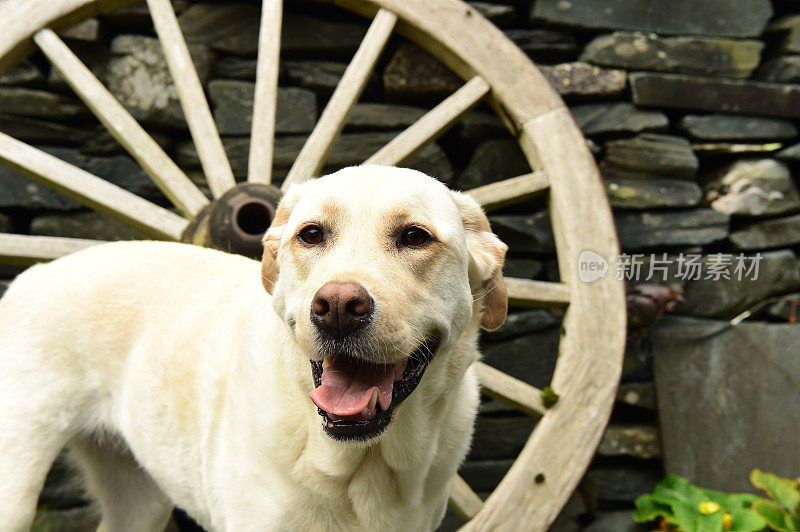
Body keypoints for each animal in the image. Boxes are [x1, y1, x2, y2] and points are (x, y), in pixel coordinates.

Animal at [0, 164, 510, 528]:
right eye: (311, 234)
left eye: (415, 237)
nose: (337, 307)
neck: (357, 461)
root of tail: (34, 271)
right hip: (16, 488)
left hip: (140, 500)